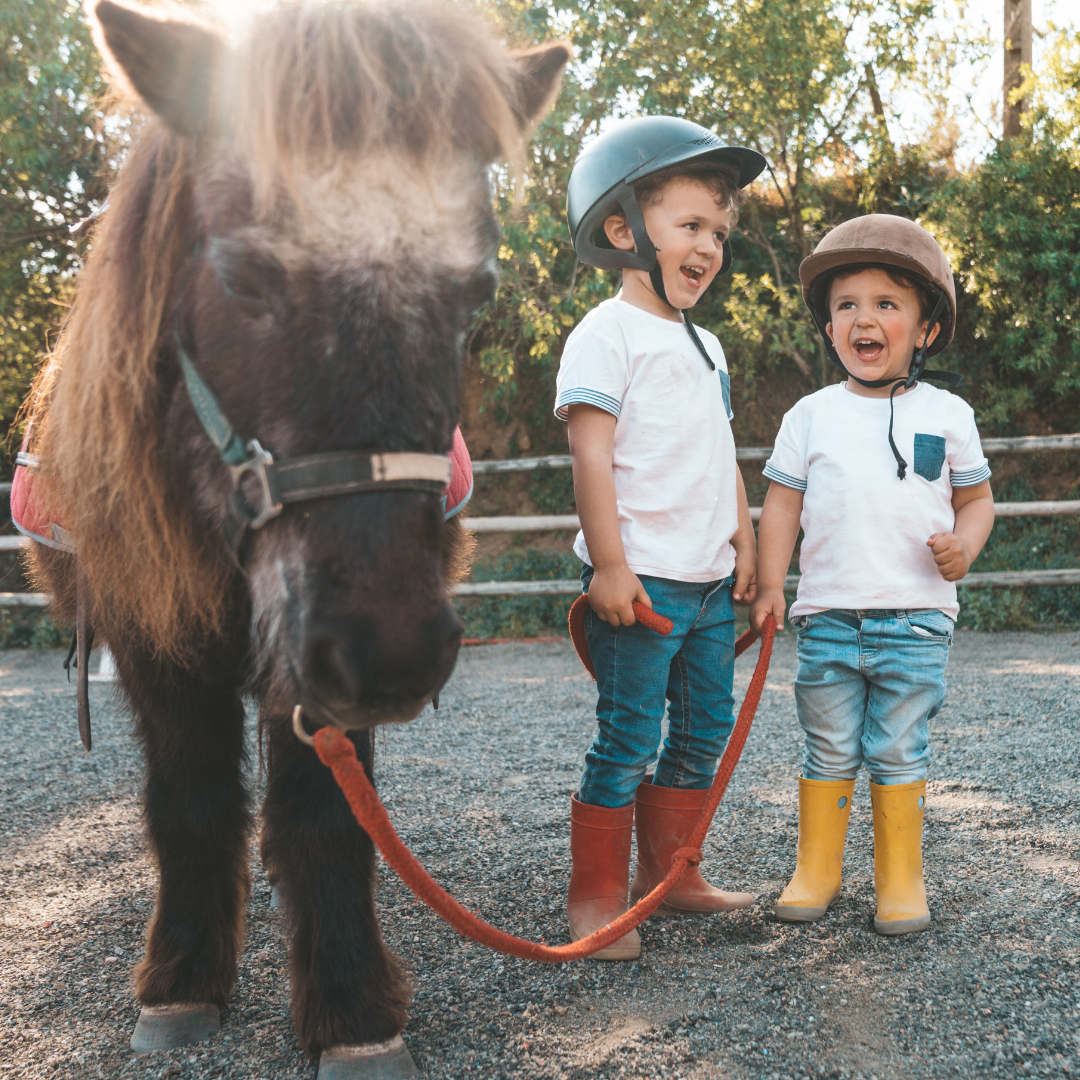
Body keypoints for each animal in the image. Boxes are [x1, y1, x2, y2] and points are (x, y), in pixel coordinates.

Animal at [21, 4, 570, 1075]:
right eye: (240, 275)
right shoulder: (157, 641)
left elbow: (320, 818)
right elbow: (191, 803)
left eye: (479, 291)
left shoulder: (313, 665)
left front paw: (352, 1010)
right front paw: (183, 983)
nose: (393, 653)